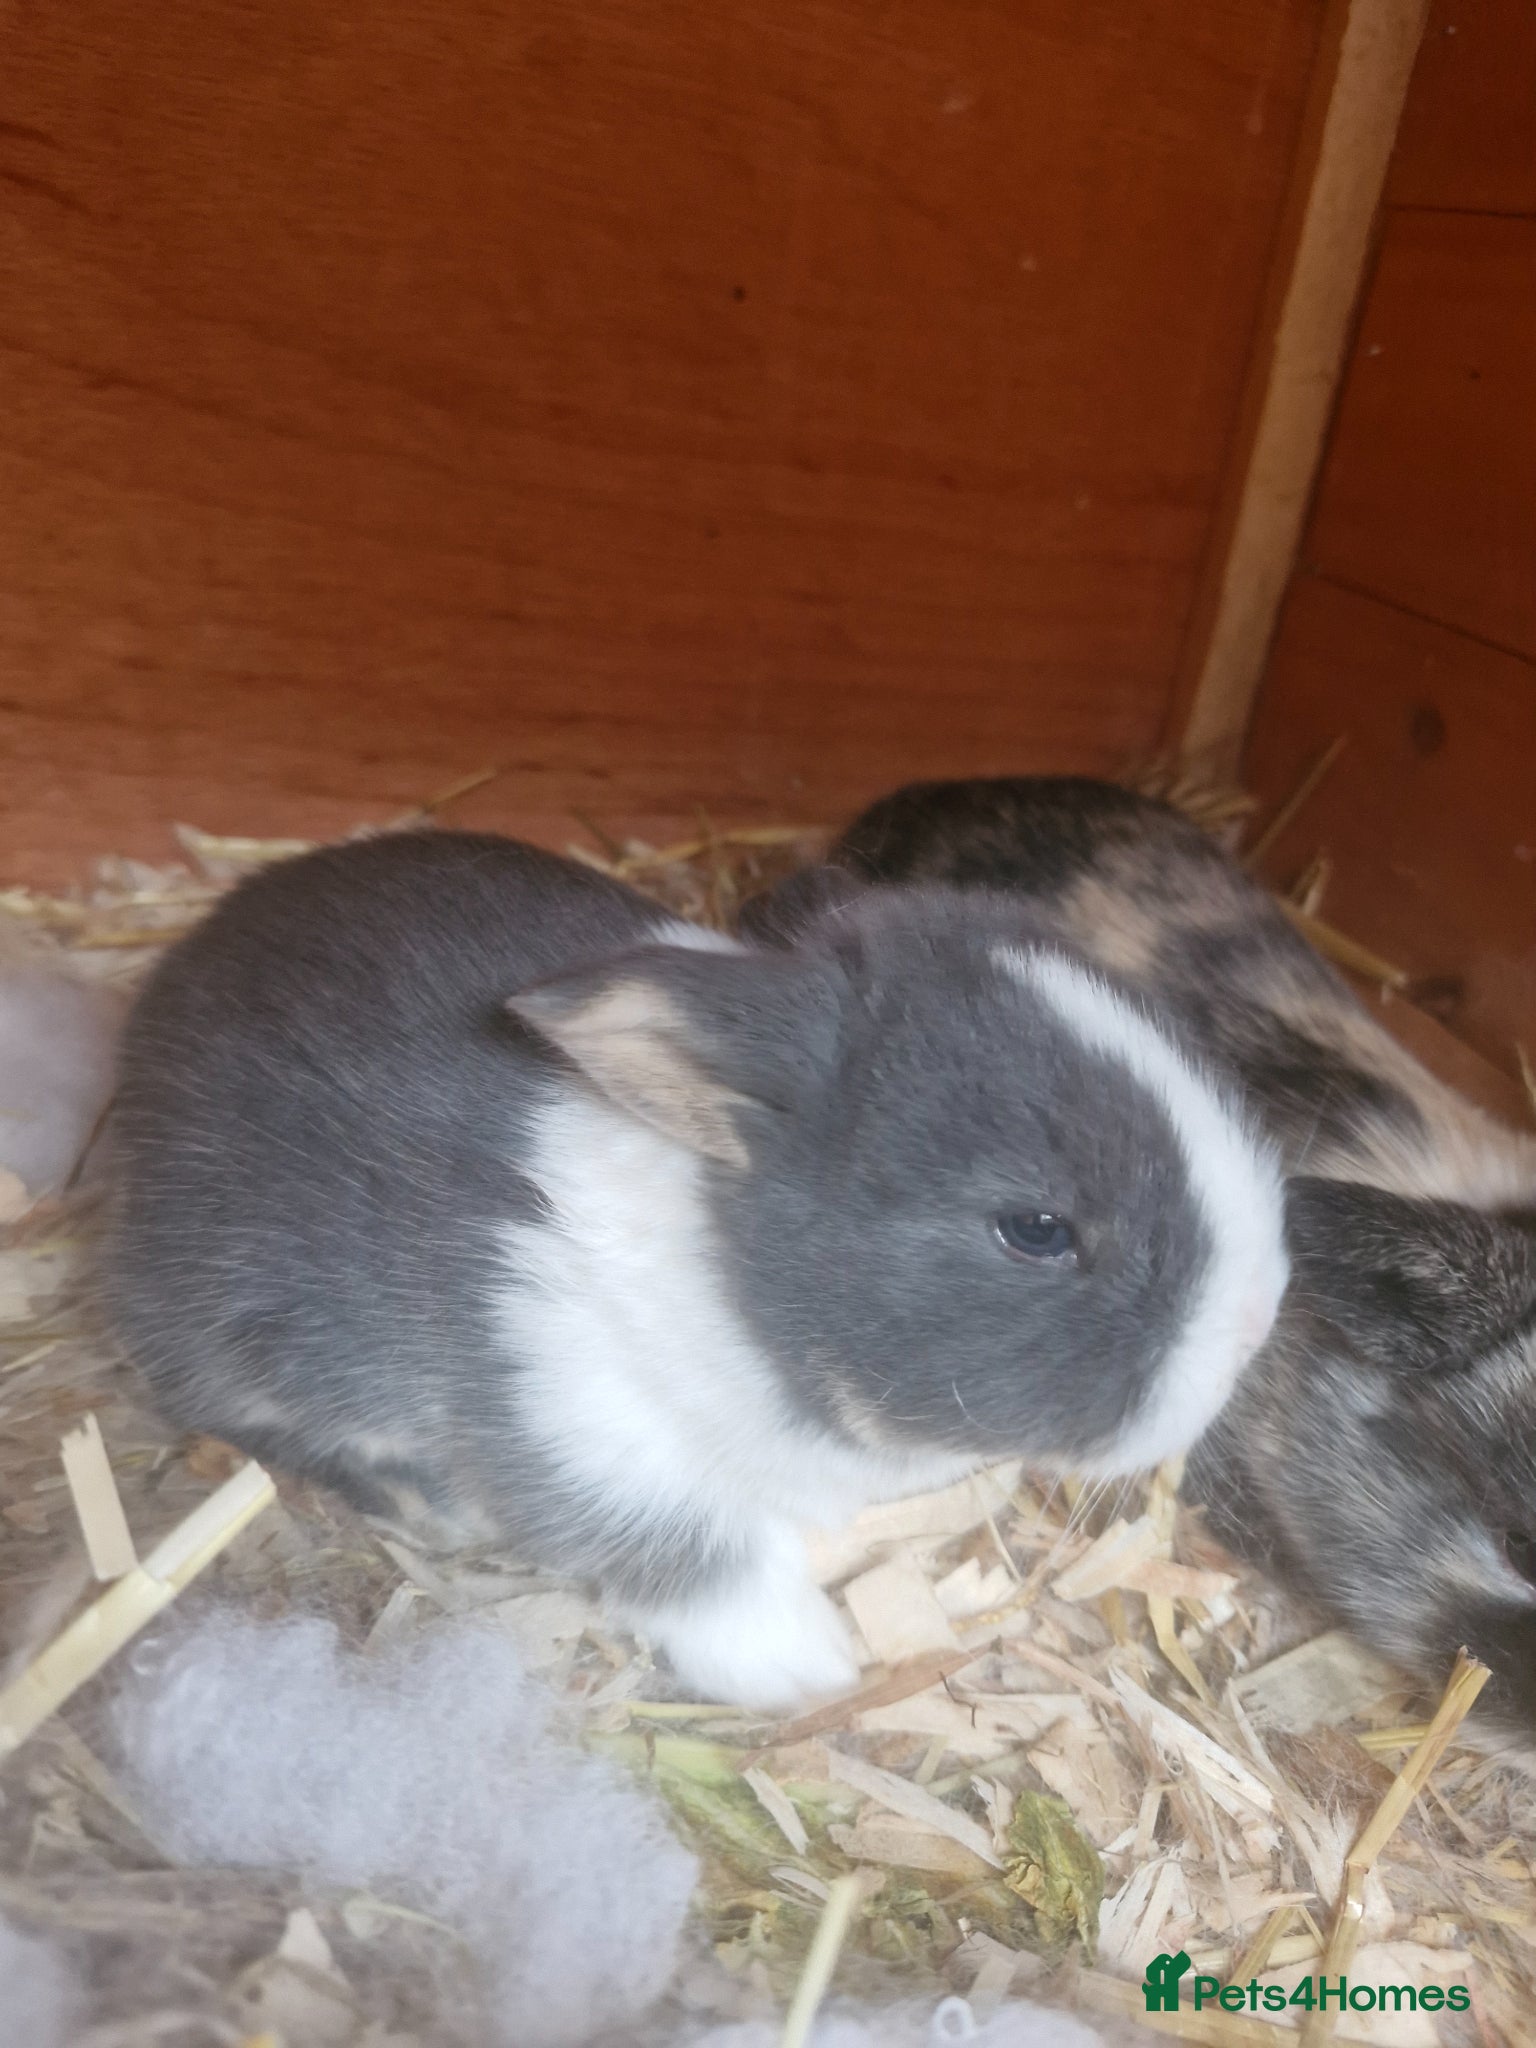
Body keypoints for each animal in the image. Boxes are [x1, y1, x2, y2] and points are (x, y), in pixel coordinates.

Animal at [100, 827, 1287, 1710]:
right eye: (1036, 1228)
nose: (1256, 1321)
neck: (731, 1264)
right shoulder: (581, 1424)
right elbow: (693, 1552)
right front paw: (809, 1664)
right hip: (237, 1325)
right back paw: (423, 1501)